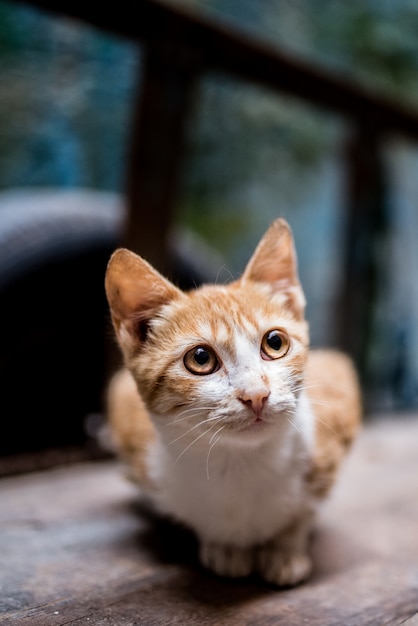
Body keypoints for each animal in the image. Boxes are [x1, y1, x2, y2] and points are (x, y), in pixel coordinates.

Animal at [103, 216, 360, 584]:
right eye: (200, 358)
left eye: (275, 342)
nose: (256, 394)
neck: (241, 464)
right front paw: (225, 547)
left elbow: (304, 511)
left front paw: (285, 549)